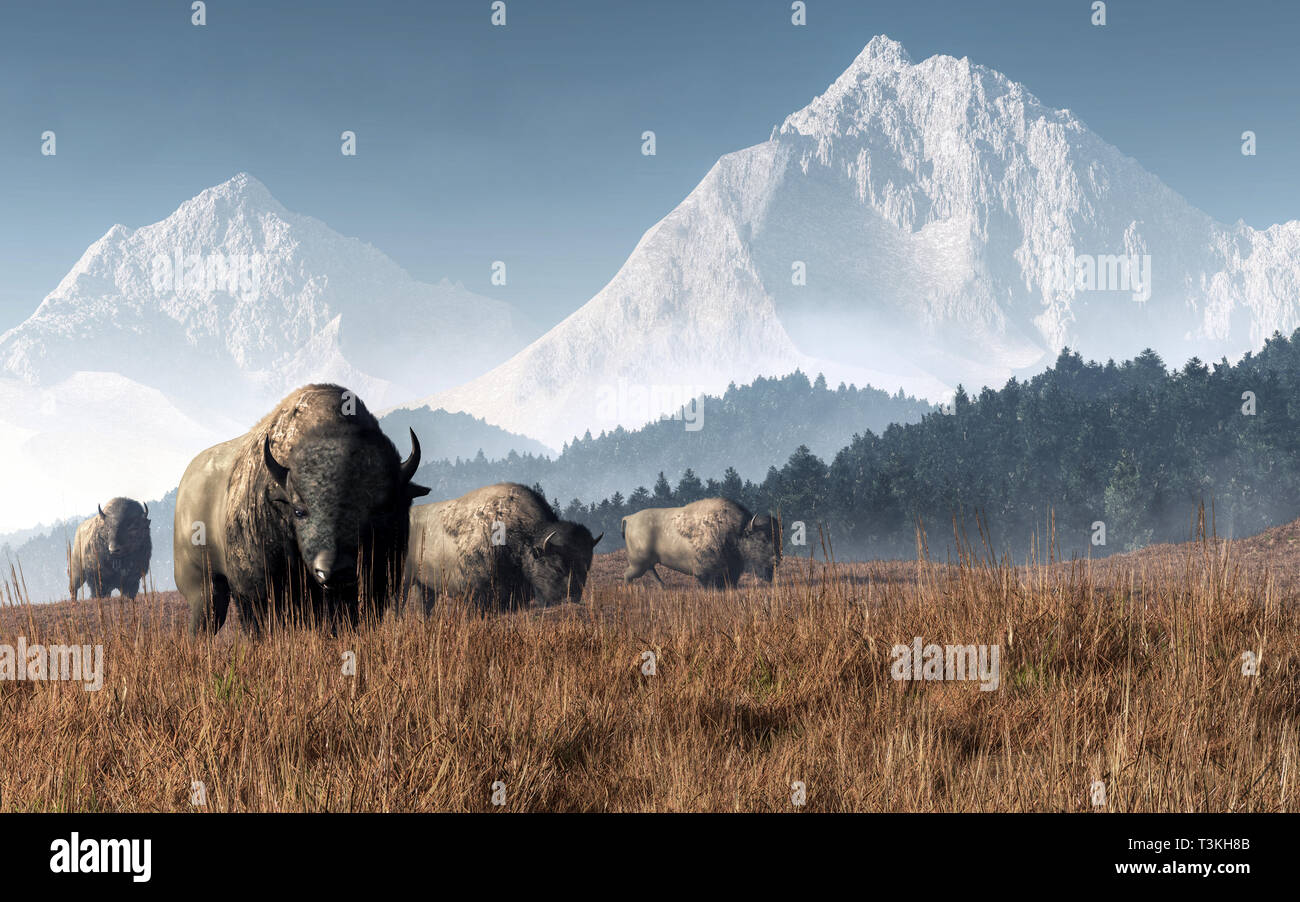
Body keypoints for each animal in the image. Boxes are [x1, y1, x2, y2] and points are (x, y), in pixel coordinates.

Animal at [621, 498, 780, 588]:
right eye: (762, 538)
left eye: (778, 538)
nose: (776, 560)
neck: (736, 532)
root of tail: (629, 518)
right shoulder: (705, 574)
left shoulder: (731, 573)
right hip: (638, 564)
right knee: (628, 575)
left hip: (647, 562)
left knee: (650, 571)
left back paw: (663, 587)